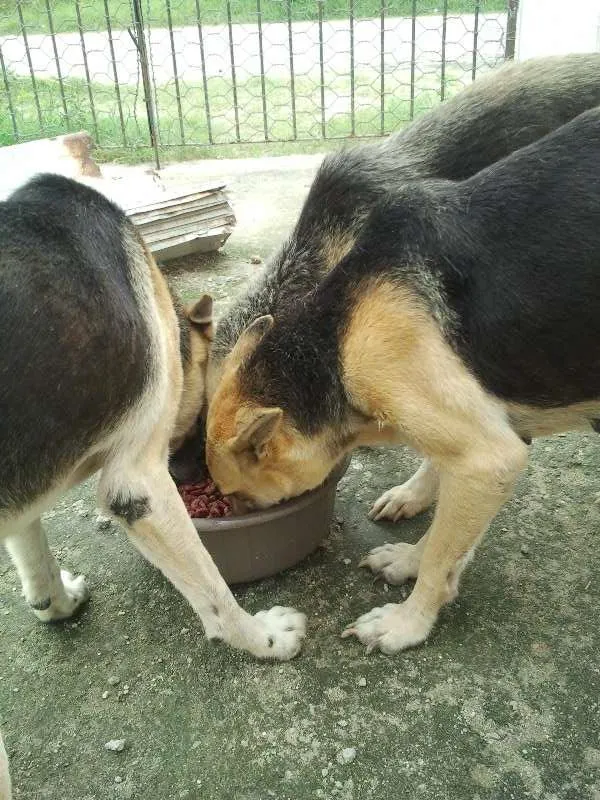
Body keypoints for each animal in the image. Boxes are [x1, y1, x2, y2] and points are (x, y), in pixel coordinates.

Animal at [205, 104, 600, 656]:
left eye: (237, 496)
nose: (230, 508)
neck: (333, 338)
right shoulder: (493, 443)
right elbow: (448, 536)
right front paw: (413, 552)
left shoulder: (487, 455)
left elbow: (442, 553)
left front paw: (408, 621)